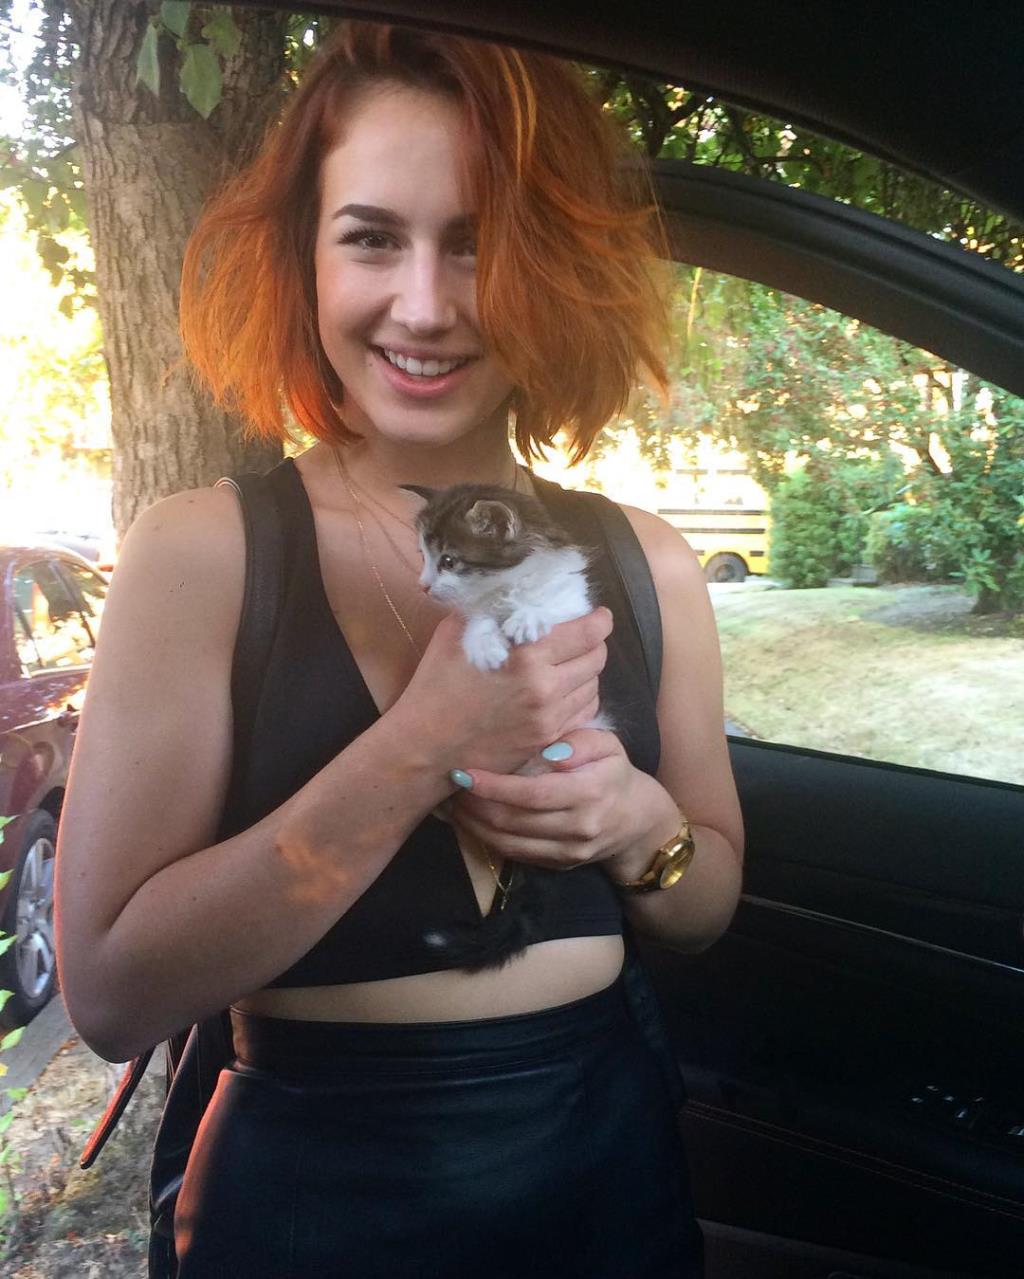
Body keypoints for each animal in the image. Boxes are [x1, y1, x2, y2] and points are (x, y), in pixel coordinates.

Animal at [404, 481, 613, 970]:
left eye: (449, 561)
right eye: (424, 557)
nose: (424, 585)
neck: (506, 586)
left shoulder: (575, 606)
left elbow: (553, 609)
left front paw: (530, 618)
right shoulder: (474, 611)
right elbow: (477, 621)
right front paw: (485, 645)